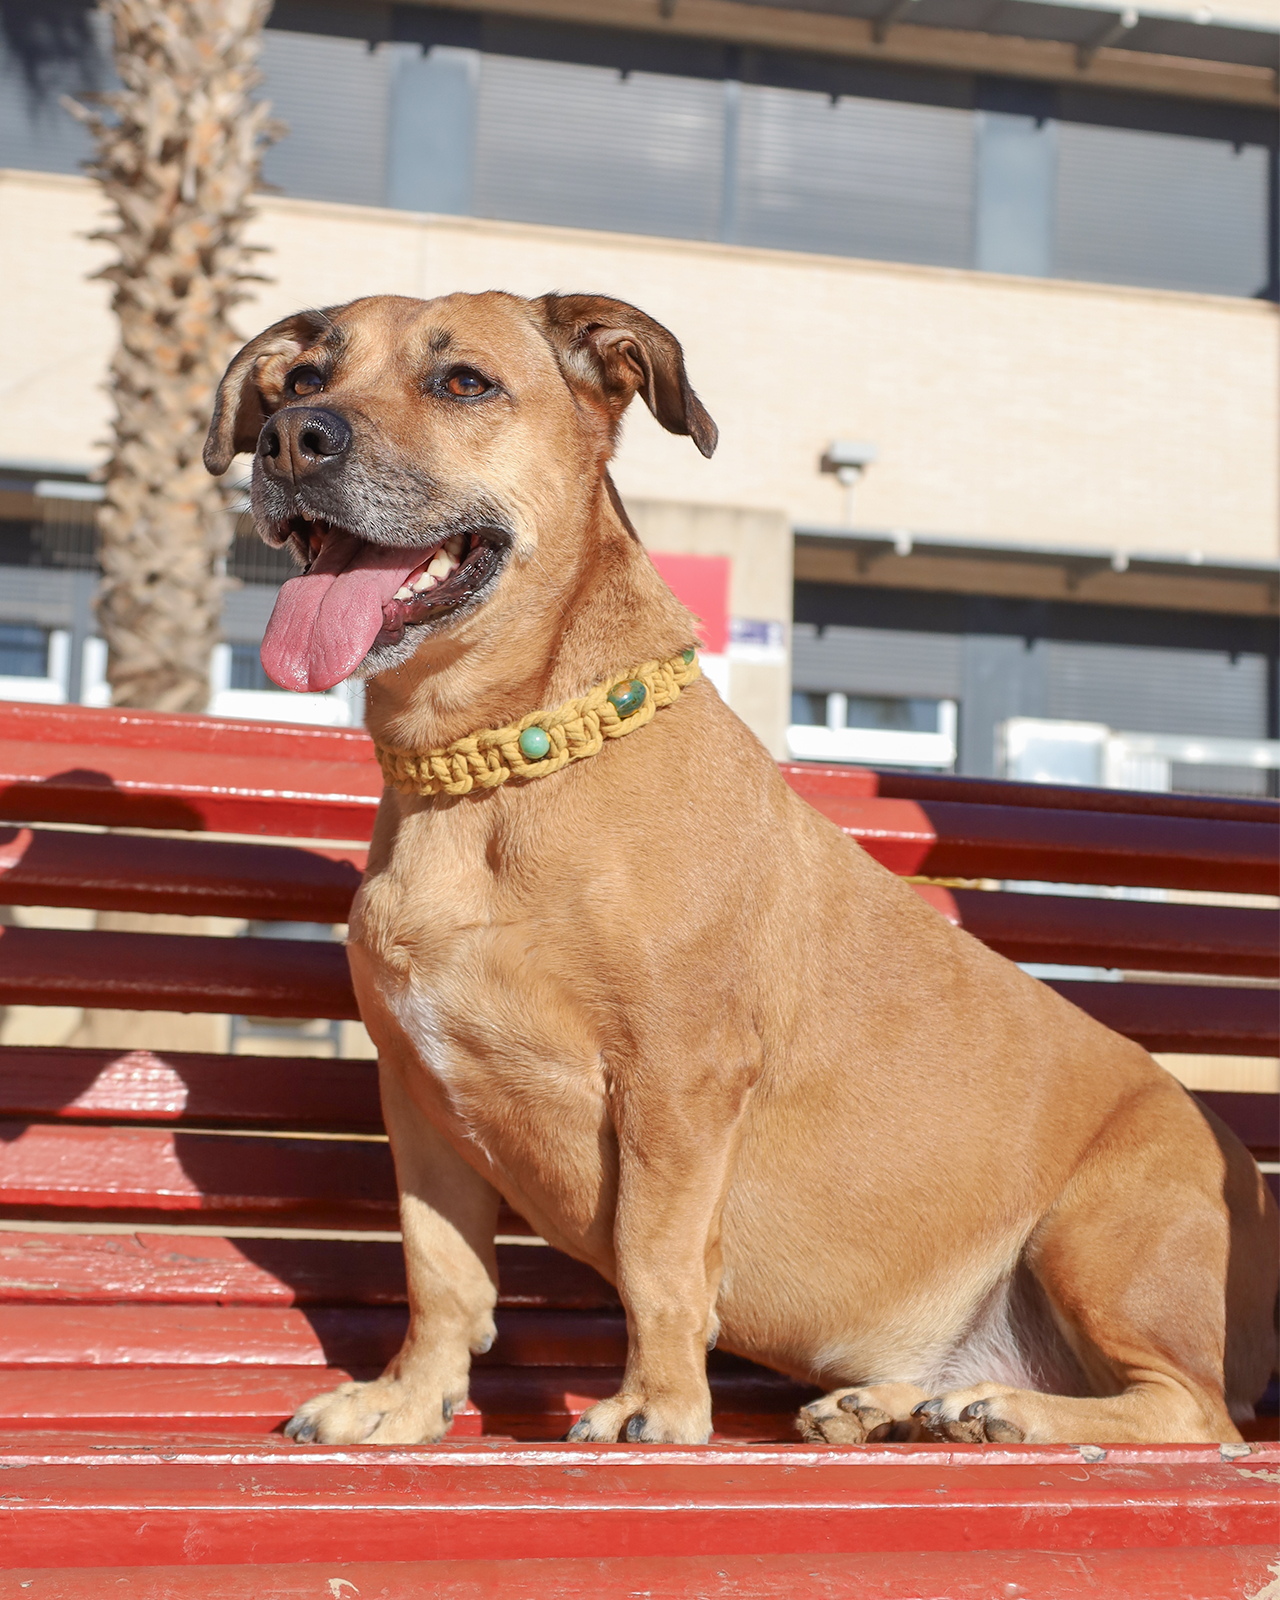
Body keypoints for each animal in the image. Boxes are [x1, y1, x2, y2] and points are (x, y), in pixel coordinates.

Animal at [204, 291, 1273, 1452]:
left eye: (463, 384)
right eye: (304, 378)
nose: (289, 439)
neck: (490, 775)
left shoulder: (675, 1084)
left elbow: (655, 1258)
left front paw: (658, 1405)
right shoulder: (418, 1095)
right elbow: (440, 1271)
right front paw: (406, 1400)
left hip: (1102, 1233)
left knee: (1194, 1411)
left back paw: (999, 1411)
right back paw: (894, 1406)